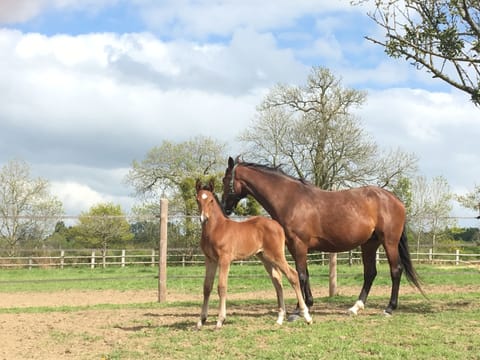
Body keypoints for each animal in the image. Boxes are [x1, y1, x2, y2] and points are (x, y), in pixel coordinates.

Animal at [194, 180, 312, 330]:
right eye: (197, 200)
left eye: (211, 200)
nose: (204, 218)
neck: (216, 229)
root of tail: (278, 225)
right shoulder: (210, 260)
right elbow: (207, 287)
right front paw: (201, 321)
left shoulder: (224, 259)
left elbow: (221, 287)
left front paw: (220, 321)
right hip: (265, 258)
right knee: (277, 281)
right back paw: (279, 319)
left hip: (277, 256)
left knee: (293, 275)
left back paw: (307, 316)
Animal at [221, 158, 424, 316]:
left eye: (225, 180)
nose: (224, 209)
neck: (290, 200)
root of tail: (395, 199)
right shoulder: (295, 246)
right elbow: (303, 274)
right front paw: (304, 305)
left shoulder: (299, 244)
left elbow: (301, 275)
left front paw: (300, 309)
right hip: (369, 244)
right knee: (370, 273)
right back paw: (355, 307)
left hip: (389, 242)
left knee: (395, 270)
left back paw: (389, 308)